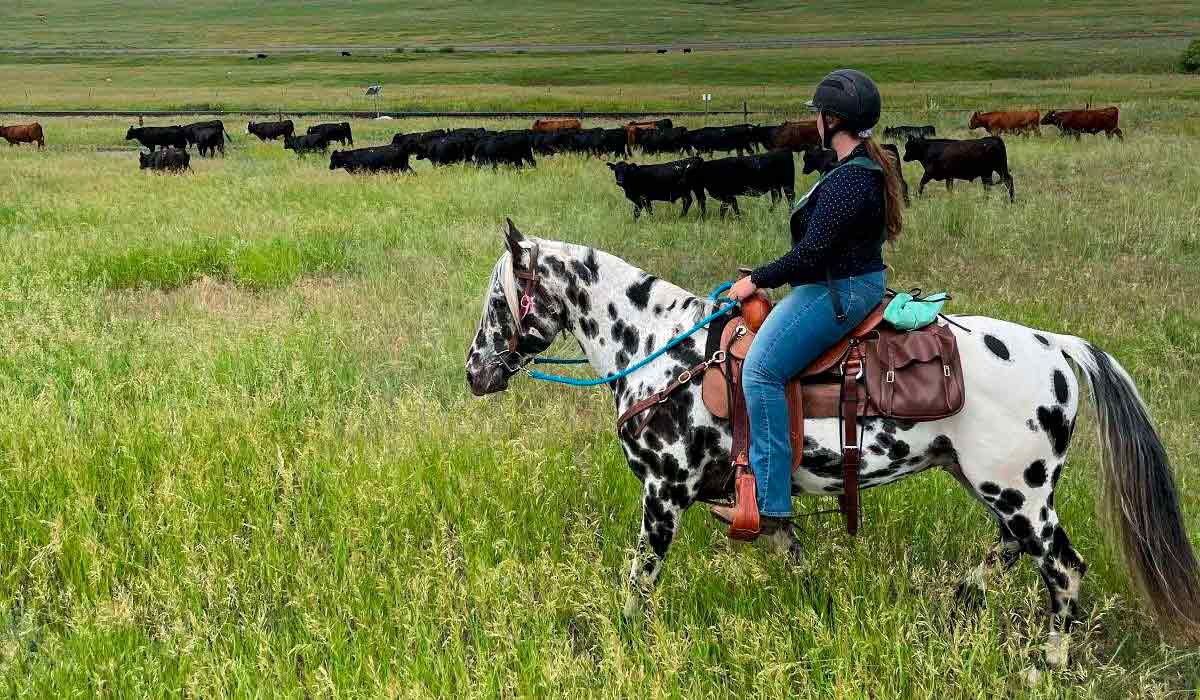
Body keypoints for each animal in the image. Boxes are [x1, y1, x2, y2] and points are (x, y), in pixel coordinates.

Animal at [463, 220, 1200, 662]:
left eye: (498, 302)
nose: (474, 372)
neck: (660, 350)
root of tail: (1055, 345)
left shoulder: (663, 494)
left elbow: (639, 578)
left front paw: (625, 637)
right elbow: (791, 553)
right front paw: (815, 607)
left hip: (1020, 492)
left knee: (1063, 569)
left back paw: (1045, 664)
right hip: (994, 485)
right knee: (1013, 551)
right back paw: (959, 602)